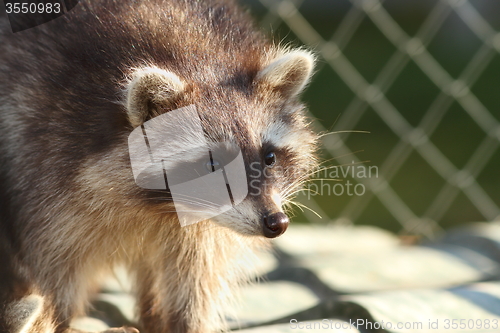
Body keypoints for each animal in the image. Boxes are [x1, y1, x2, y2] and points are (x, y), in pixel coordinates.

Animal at [0, 0, 318, 332]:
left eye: (269, 158)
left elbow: (198, 273)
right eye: (212, 164)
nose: (276, 222)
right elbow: (53, 265)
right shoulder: (42, 154)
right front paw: (56, 318)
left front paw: (189, 321)